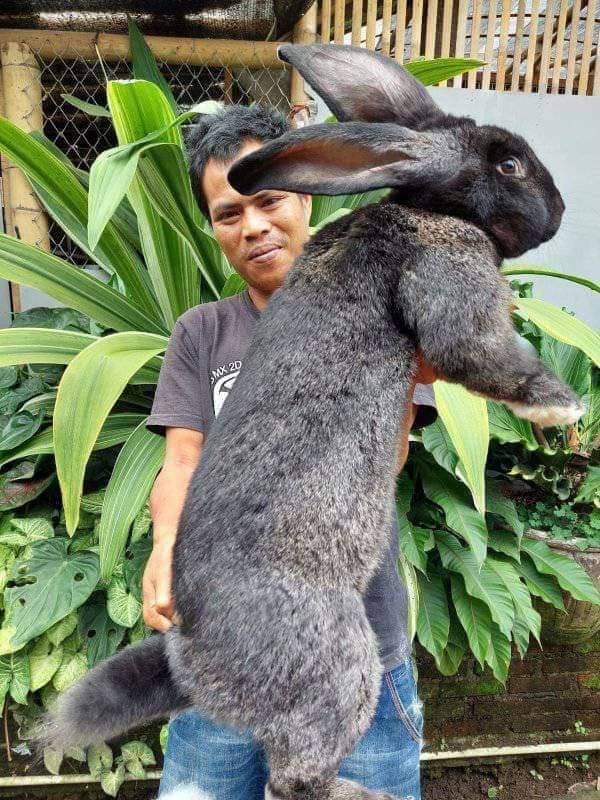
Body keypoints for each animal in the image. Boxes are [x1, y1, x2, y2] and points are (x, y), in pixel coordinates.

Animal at [39, 44, 584, 800]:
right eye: (508, 164)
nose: (559, 212)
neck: (420, 205)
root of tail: (192, 667)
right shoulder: (450, 284)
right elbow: (483, 354)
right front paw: (564, 405)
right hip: (340, 665)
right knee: (295, 779)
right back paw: (364, 793)